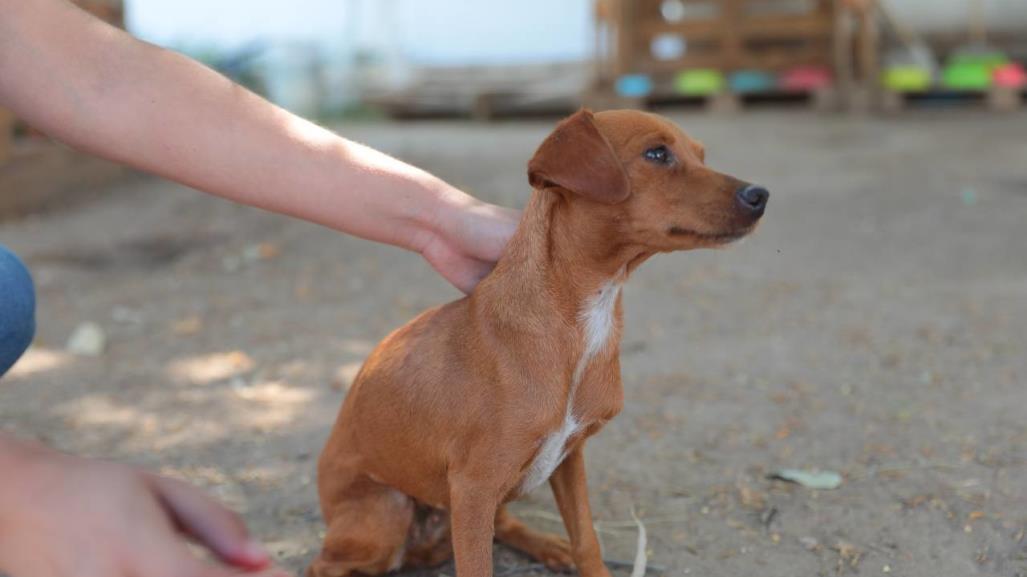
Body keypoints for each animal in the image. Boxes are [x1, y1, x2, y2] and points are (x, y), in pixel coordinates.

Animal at [308, 108, 768, 574]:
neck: (581, 325)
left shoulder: (569, 458)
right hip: (385, 513)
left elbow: (587, 539)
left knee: (505, 525)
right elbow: (478, 567)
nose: (760, 194)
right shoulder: (473, 488)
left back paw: (548, 545)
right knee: (325, 564)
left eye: (701, 156)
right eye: (656, 154)